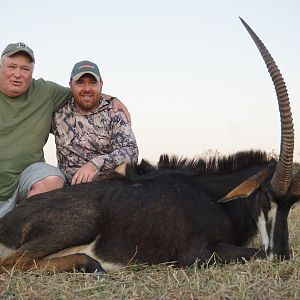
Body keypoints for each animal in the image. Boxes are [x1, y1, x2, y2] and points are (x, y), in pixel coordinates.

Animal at [0, 17, 298, 274]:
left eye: (292, 204)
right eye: (265, 198)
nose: (282, 255)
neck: (213, 197)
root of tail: (6, 221)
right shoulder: (198, 253)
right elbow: (254, 253)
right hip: (79, 225)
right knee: (12, 264)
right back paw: (90, 263)